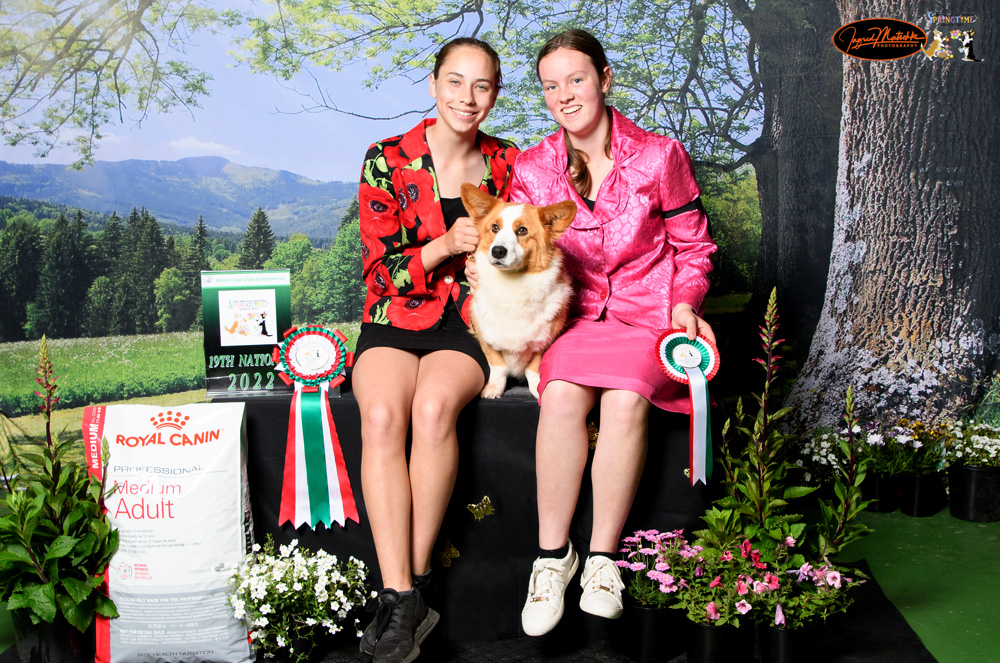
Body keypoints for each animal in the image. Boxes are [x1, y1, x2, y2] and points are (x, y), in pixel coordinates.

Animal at [458, 183, 576, 400]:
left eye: (522, 231)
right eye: (494, 228)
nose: (497, 251)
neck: (513, 284)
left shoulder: (543, 341)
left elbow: (532, 368)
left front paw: (537, 388)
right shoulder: (484, 334)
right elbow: (498, 366)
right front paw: (494, 388)